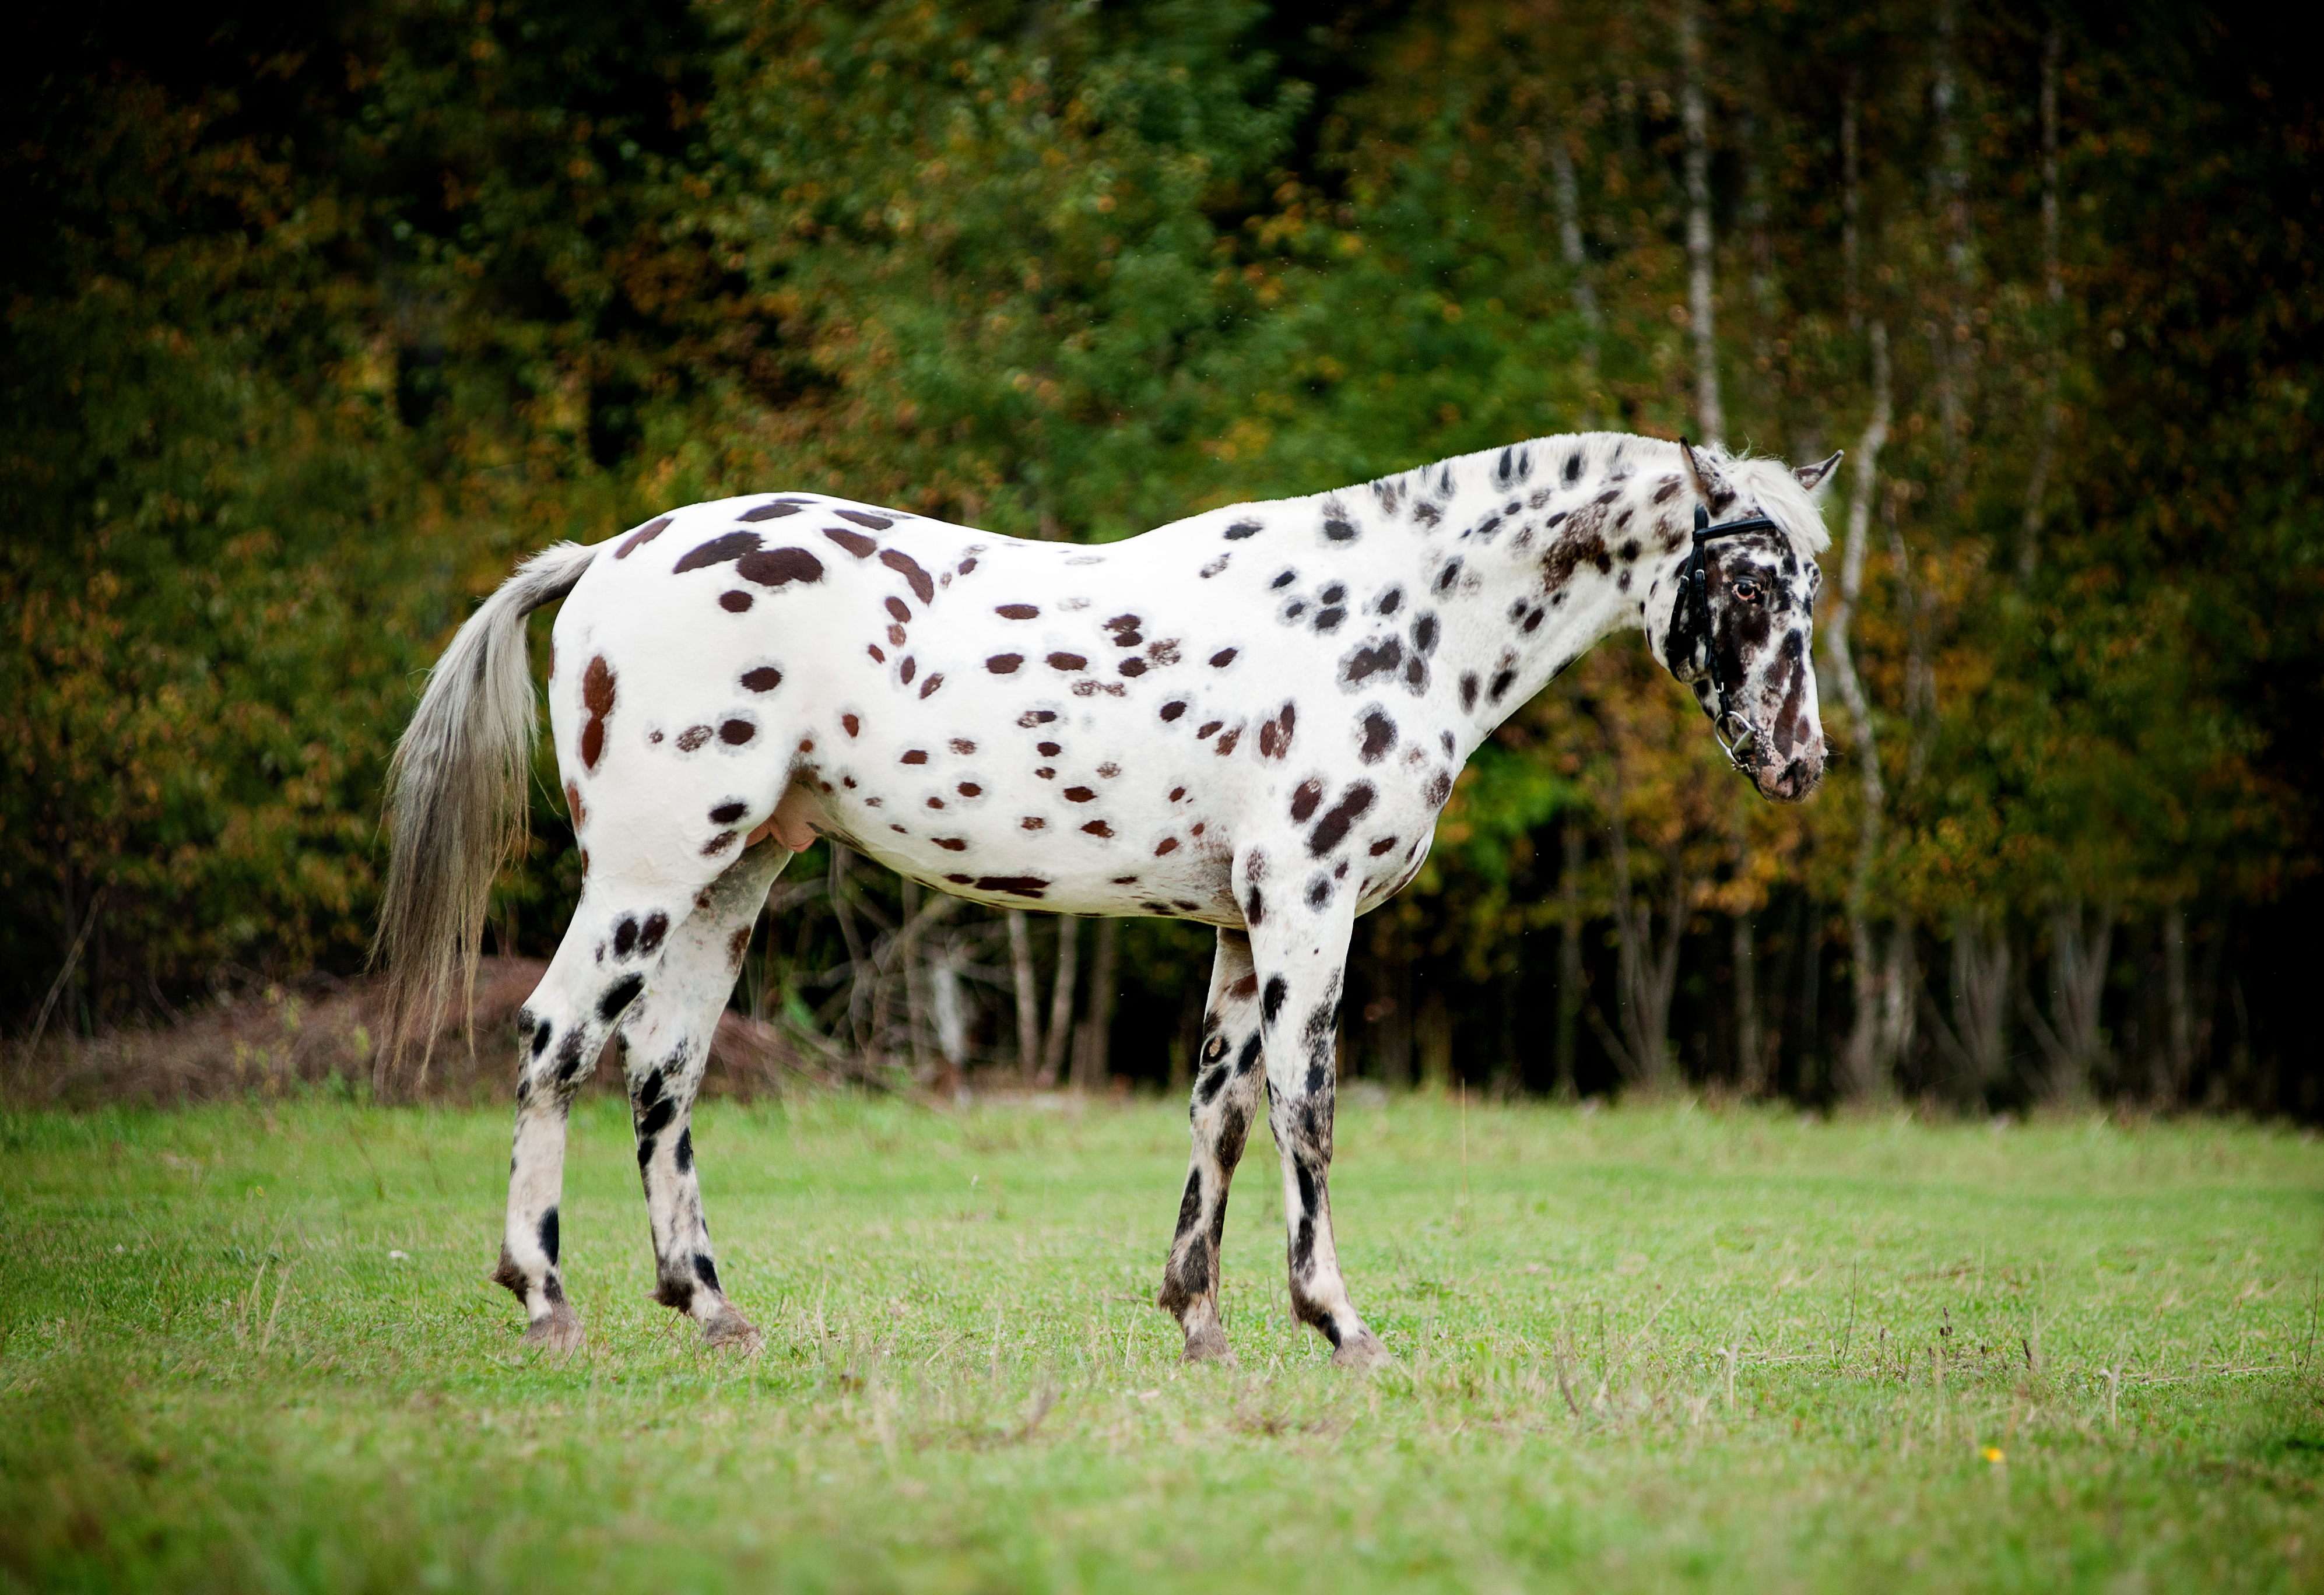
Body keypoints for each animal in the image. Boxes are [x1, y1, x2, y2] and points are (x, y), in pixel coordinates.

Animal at [376, 430, 1831, 1367]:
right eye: (1745, 580)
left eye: (1808, 586)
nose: (1796, 761)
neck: (1386, 620)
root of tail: (608, 557)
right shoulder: (1306, 906)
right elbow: (1307, 1107)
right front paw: (1338, 1324)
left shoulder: (1242, 926)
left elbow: (1221, 1112)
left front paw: (1198, 1318)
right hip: (648, 871)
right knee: (556, 1040)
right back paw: (545, 1303)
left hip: (734, 879)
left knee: (662, 1073)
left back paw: (712, 1311)